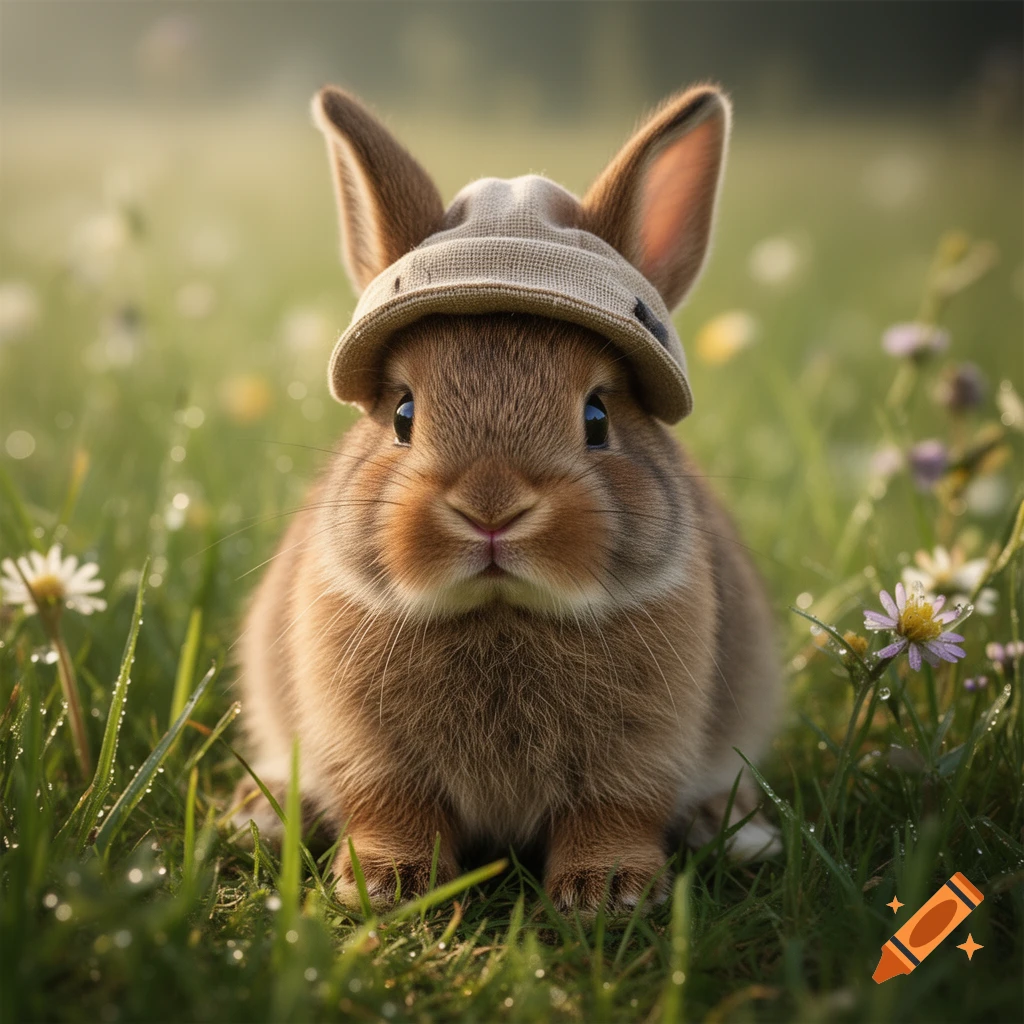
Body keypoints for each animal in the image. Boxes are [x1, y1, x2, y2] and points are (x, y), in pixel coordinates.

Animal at [232, 84, 782, 917]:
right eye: (403, 414)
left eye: (598, 417)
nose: (490, 507)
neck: (501, 611)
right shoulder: (368, 753)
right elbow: (392, 809)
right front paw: (387, 884)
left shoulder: (639, 756)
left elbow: (615, 813)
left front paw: (605, 891)